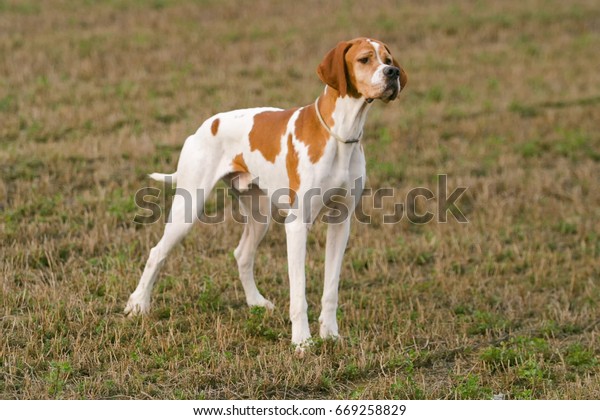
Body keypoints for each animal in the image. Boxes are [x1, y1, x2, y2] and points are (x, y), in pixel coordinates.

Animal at [126, 38, 408, 348]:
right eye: (365, 59)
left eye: (388, 59)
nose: (393, 73)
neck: (341, 135)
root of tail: (204, 126)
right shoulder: (296, 226)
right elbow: (299, 294)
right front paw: (302, 342)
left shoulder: (340, 223)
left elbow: (331, 290)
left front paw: (331, 334)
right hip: (187, 211)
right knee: (157, 252)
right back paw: (138, 304)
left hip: (260, 217)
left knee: (242, 254)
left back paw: (256, 302)